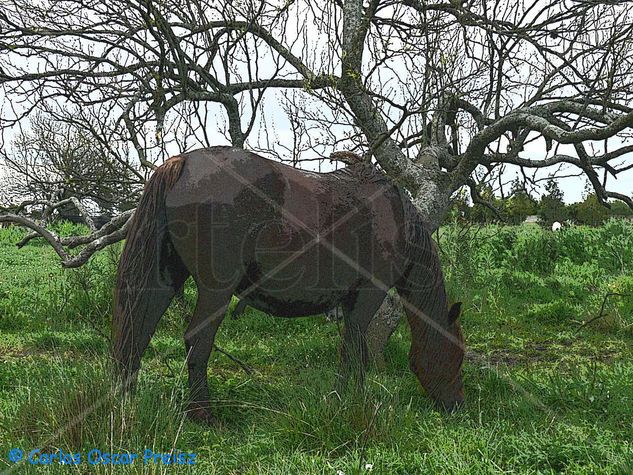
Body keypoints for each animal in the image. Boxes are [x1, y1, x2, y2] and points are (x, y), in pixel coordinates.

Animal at [111, 146, 462, 424]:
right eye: (456, 356)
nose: (456, 406)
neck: (397, 218)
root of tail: (183, 162)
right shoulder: (369, 296)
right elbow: (354, 350)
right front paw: (351, 403)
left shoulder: (350, 303)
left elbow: (353, 350)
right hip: (215, 292)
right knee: (197, 340)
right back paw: (203, 414)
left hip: (164, 278)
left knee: (137, 330)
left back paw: (127, 403)